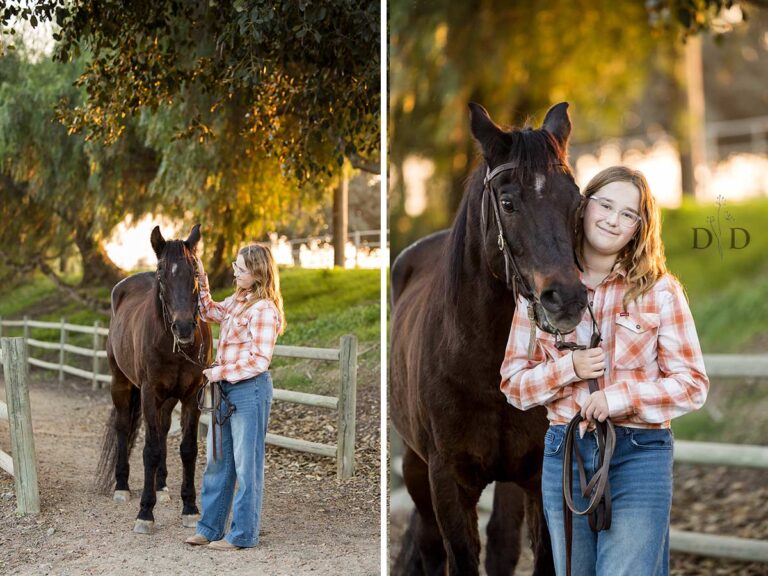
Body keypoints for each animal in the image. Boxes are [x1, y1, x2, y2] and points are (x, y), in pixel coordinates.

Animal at [96, 224, 212, 534]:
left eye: (194, 272)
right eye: (162, 275)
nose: (183, 327)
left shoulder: (192, 395)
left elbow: (187, 449)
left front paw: (190, 508)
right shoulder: (149, 393)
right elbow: (150, 450)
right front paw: (145, 513)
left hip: (168, 399)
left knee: (161, 430)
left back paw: (161, 487)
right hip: (121, 384)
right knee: (124, 427)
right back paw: (122, 487)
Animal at [390, 102, 588, 575]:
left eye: (576, 202)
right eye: (508, 202)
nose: (567, 298)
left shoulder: (539, 476)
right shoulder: (446, 480)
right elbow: (459, 557)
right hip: (414, 466)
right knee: (429, 545)